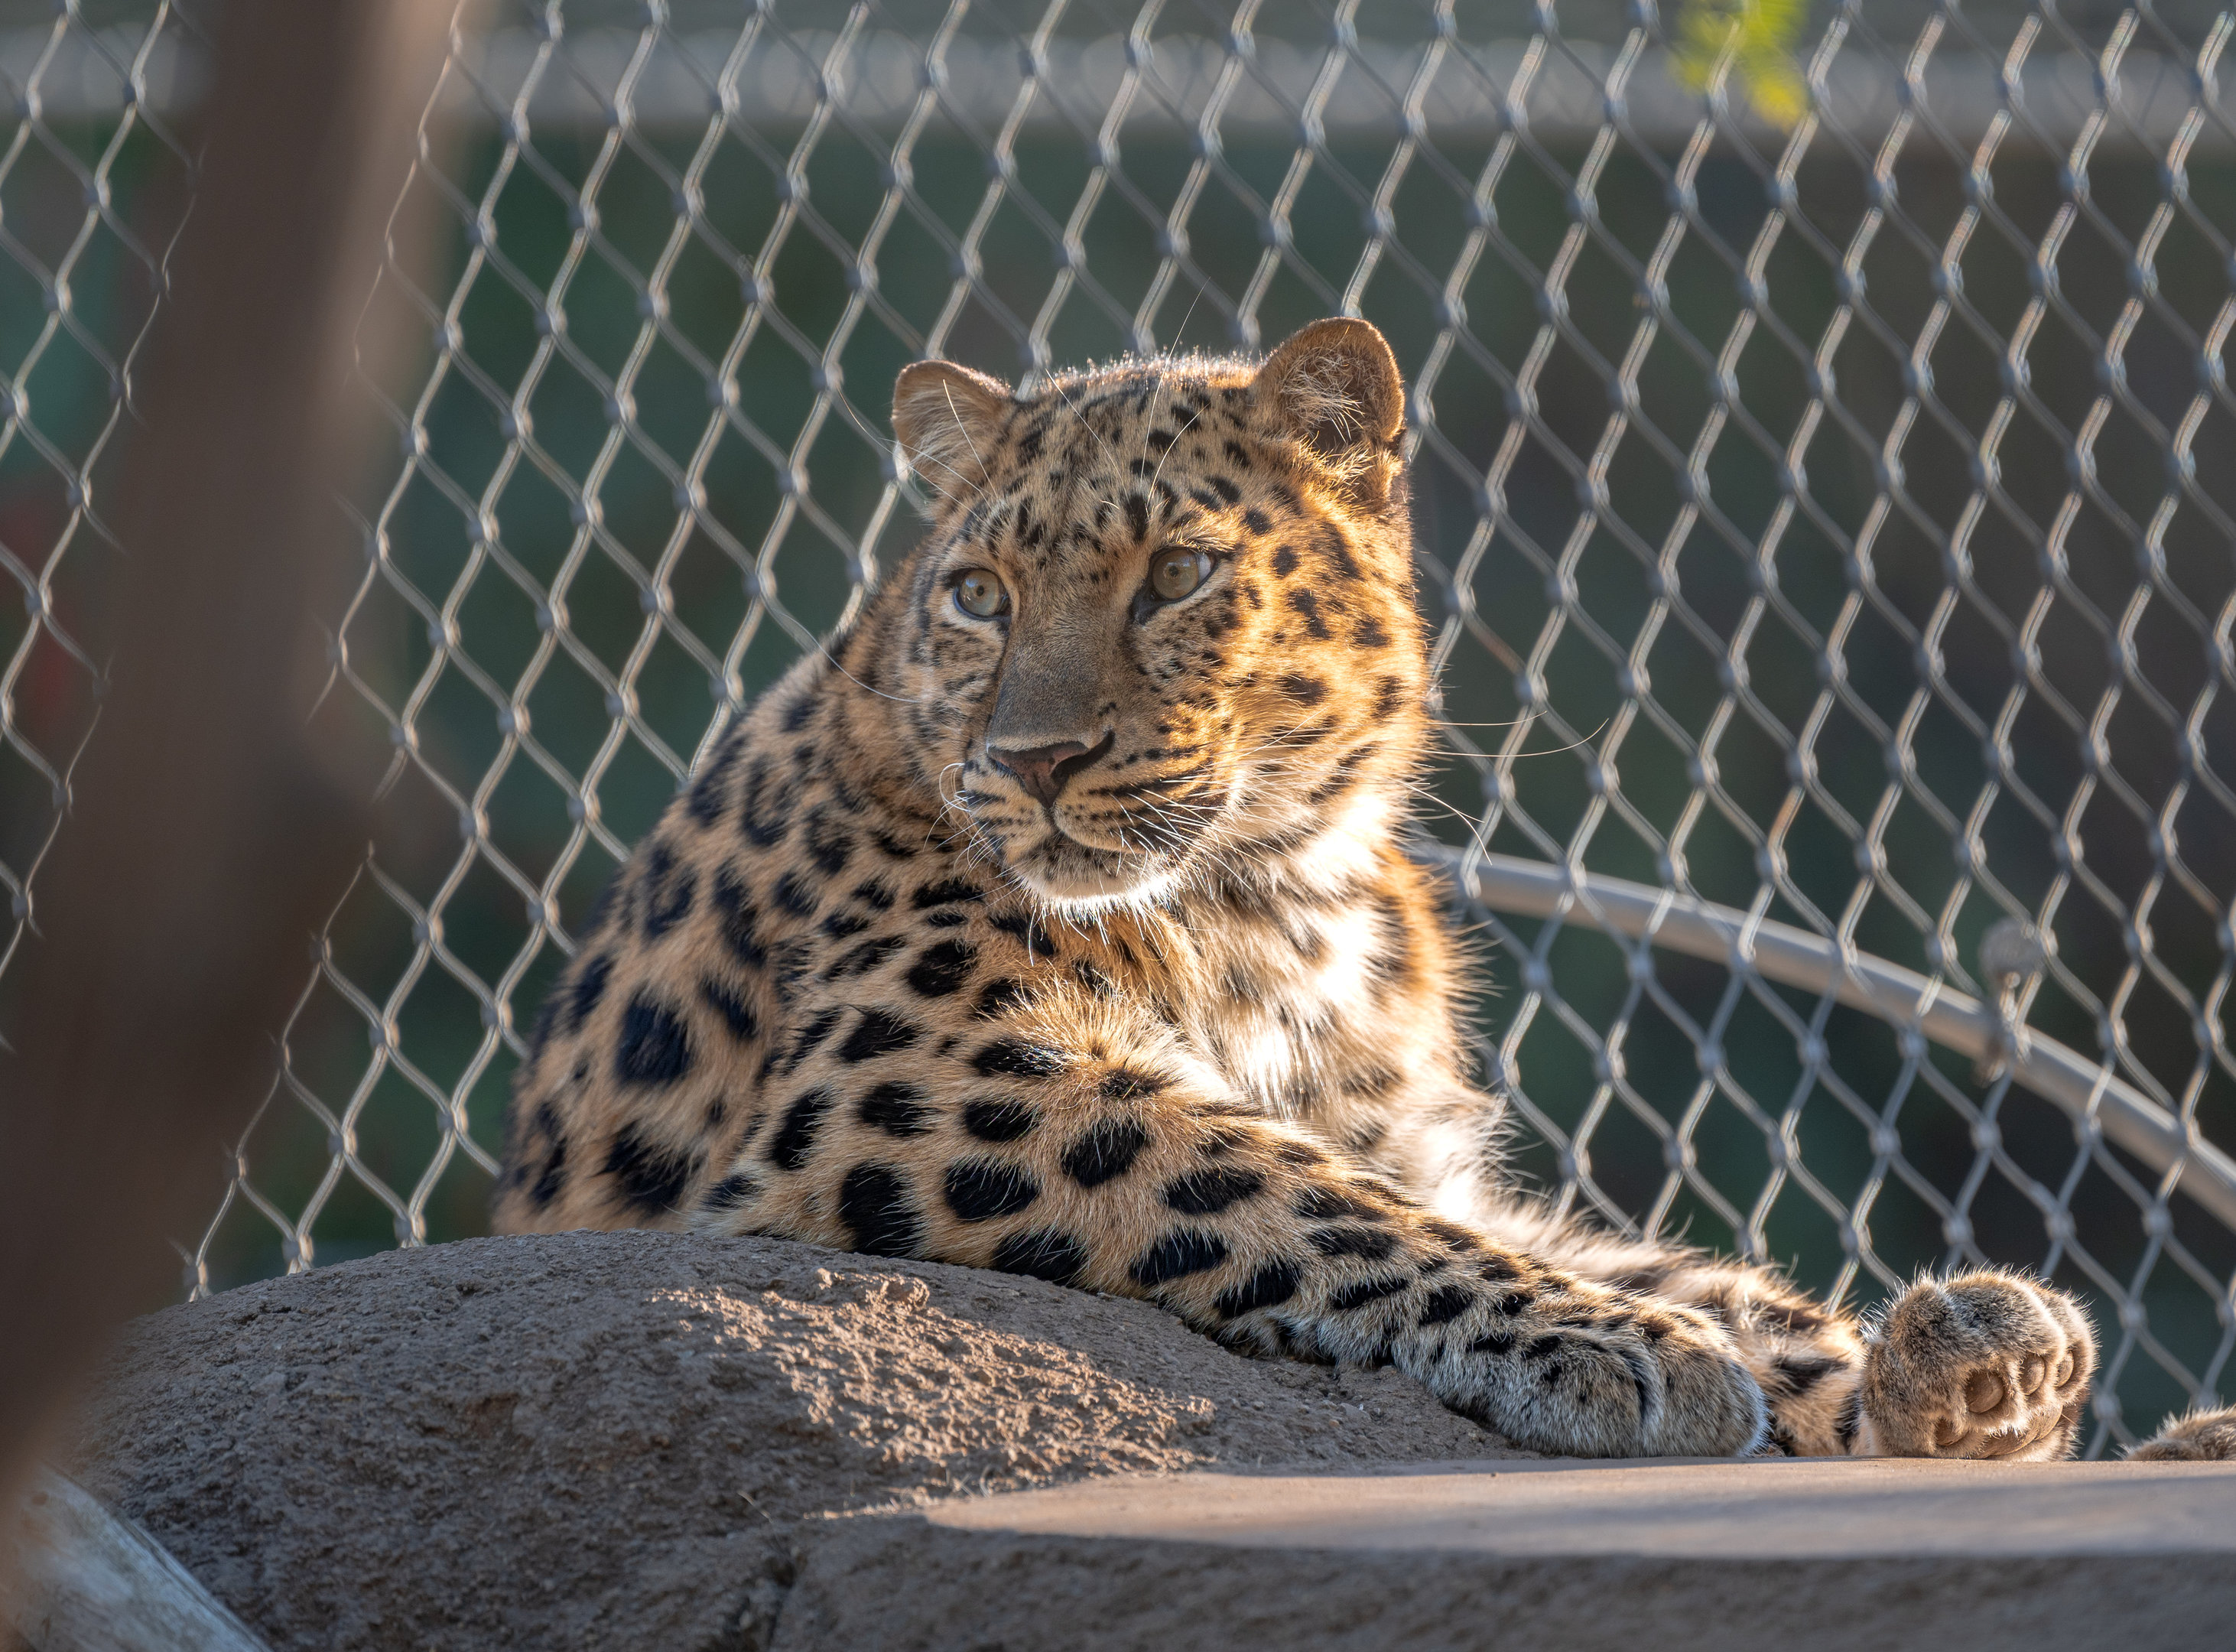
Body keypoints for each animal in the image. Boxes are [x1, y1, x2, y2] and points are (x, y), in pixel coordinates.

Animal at [494, 316, 2232, 1463]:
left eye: (1177, 574)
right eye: (978, 596)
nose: (1036, 760)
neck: (1283, 894)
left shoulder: (1407, 1136)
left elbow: (1519, 1224)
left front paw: (1949, 1361)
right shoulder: (909, 1077)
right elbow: (1274, 1184)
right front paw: (1628, 1351)